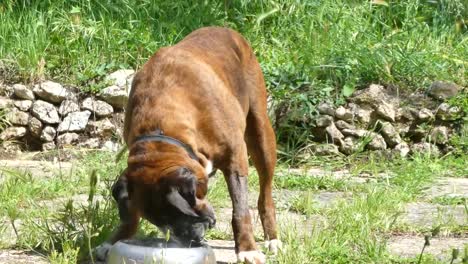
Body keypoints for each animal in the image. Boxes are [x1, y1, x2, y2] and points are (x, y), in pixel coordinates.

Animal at [93, 26, 280, 264]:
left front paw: (247, 249)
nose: (191, 239)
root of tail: (226, 29)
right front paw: (114, 240)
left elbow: (240, 209)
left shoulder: (235, 159)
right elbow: (130, 215)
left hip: (261, 134)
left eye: (183, 214)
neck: (161, 128)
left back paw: (272, 238)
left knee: (265, 194)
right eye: (160, 223)